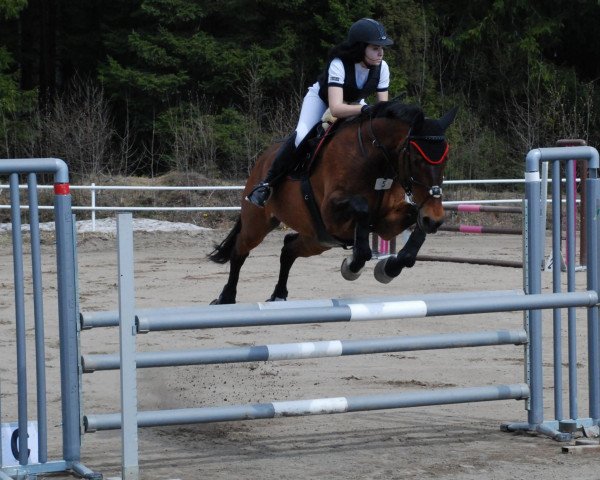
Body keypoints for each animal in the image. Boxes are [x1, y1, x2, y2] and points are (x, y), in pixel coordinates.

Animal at [209, 101, 458, 304]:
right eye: (416, 159)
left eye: (446, 159)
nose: (435, 219)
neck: (376, 160)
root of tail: (262, 160)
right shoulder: (332, 214)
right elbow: (362, 212)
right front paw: (352, 266)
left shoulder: (386, 223)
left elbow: (412, 219)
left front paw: (389, 267)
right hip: (259, 222)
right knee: (240, 249)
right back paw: (226, 297)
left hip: (317, 239)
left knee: (288, 248)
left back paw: (279, 295)